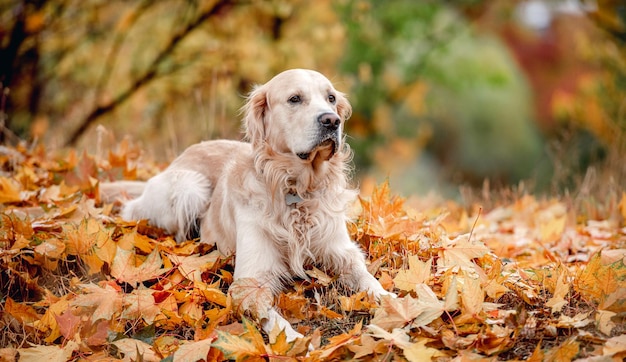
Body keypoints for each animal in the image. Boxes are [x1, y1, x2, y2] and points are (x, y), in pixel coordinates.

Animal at [105, 69, 392, 340]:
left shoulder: (342, 251)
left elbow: (368, 278)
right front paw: (297, 342)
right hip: (190, 187)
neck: (297, 189)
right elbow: (274, 318)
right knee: (138, 211)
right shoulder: (250, 280)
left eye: (331, 98)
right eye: (295, 99)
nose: (332, 120)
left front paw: (393, 302)